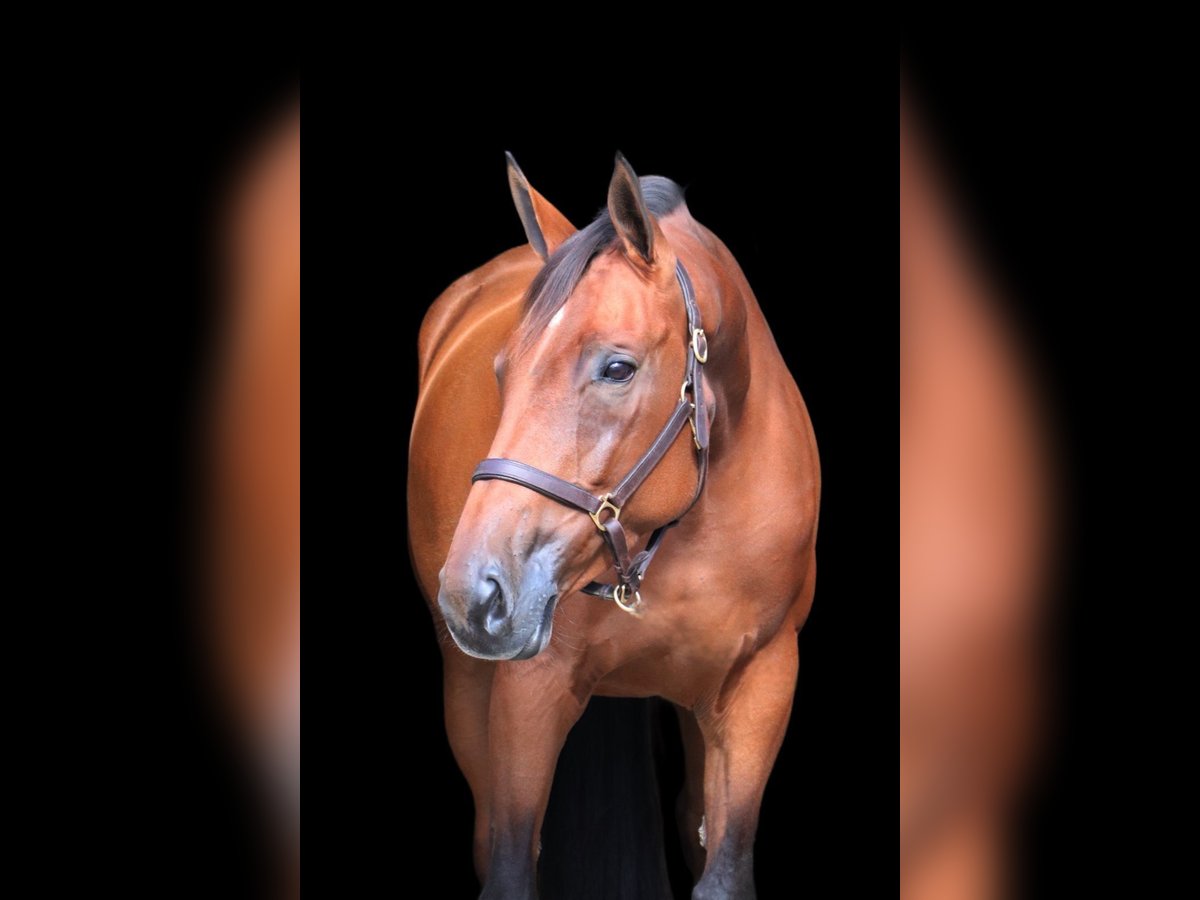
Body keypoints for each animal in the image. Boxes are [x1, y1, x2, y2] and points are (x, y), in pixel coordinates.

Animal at [408, 153, 820, 899]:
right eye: (502, 371)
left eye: (618, 367)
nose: (472, 594)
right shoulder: (529, 691)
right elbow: (509, 864)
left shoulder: (763, 681)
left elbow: (723, 870)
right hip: (467, 686)